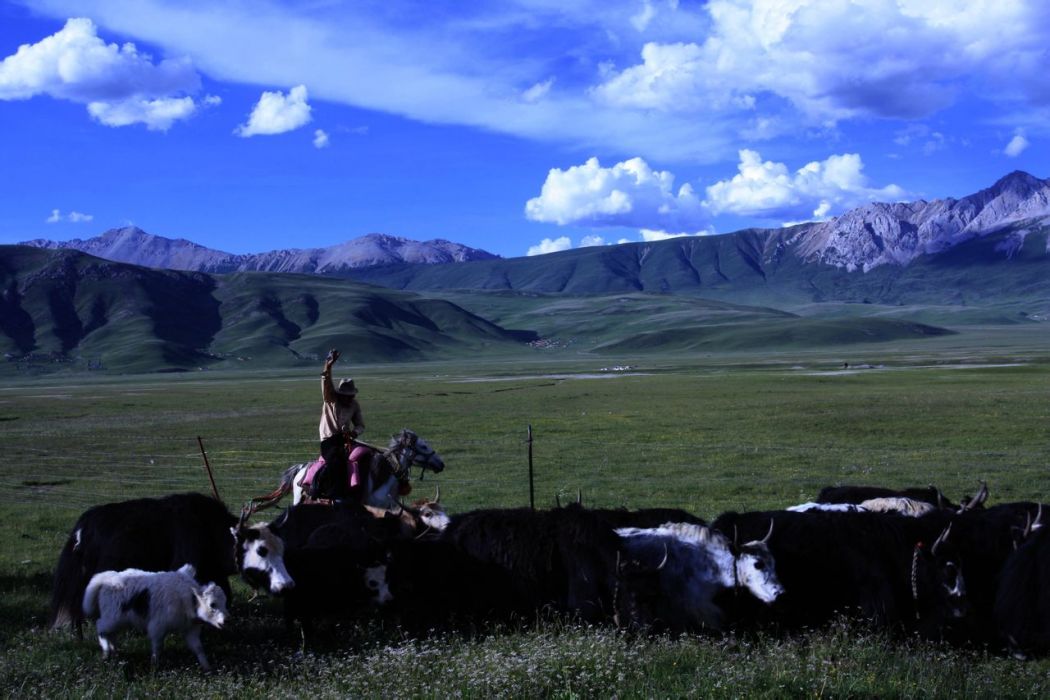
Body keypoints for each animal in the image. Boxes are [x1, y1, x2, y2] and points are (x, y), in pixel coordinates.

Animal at [82, 562, 227, 671]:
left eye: (225, 602)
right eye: (212, 604)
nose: (225, 621)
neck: (188, 598)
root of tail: (104, 580)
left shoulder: (190, 629)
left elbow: (198, 648)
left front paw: (207, 668)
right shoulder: (157, 627)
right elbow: (158, 647)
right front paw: (155, 667)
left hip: (115, 621)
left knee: (111, 634)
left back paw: (114, 651)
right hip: (111, 618)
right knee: (100, 627)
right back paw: (106, 652)